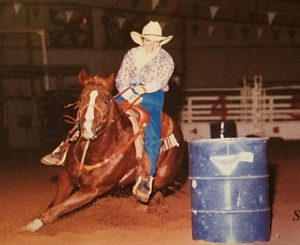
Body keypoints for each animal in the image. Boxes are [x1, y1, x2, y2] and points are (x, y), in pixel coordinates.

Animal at [22, 70, 185, 232]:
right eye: (80, 98)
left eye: (107, 100)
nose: (88, 127)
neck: (93, 153)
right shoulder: (66, 177)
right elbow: (54, 205)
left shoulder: (93, 190)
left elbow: (55, 211)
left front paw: (30, 227)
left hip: (160, 179)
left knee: (148, 199)